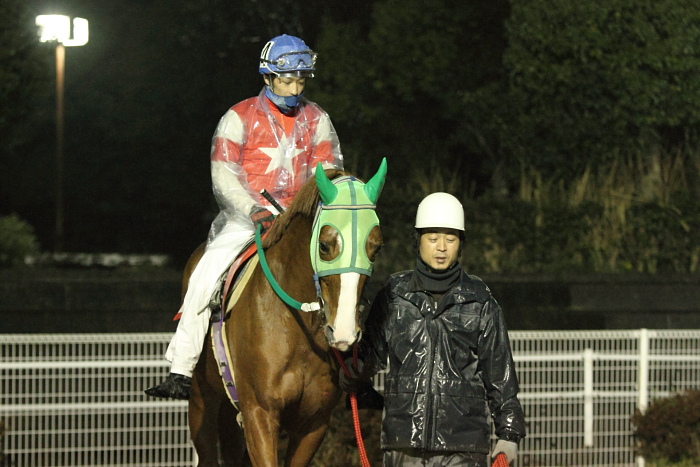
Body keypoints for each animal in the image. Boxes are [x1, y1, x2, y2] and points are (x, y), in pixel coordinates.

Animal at [185, 162, 388, 467]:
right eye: (325, 246)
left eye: (375, 248)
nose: (343, 332)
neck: (296, 328)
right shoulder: (259, 414)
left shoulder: (314, 423)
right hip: (202, 402)